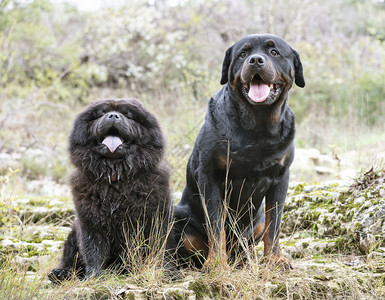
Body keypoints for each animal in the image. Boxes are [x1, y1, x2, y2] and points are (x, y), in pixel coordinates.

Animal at [48, 98, 175, 282]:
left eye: (128, 116)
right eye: (101, 113)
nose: (113, 115)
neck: (115, 177)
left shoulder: (156, 218)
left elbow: (160, 246)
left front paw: (165, 271)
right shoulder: (90, 222)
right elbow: (93, 251)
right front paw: (94, 276)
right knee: (71, 260)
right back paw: (60, 273)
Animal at [173, 33, 304, 270]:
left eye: (274, 52)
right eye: (243, 54)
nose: (256, 60)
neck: (258, 125)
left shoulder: (281, 177)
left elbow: (274, 224)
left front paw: (275, 259)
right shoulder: (210, 176)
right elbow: (216, 225)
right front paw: (216, 263)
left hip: (256, 222)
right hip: (177, 217)